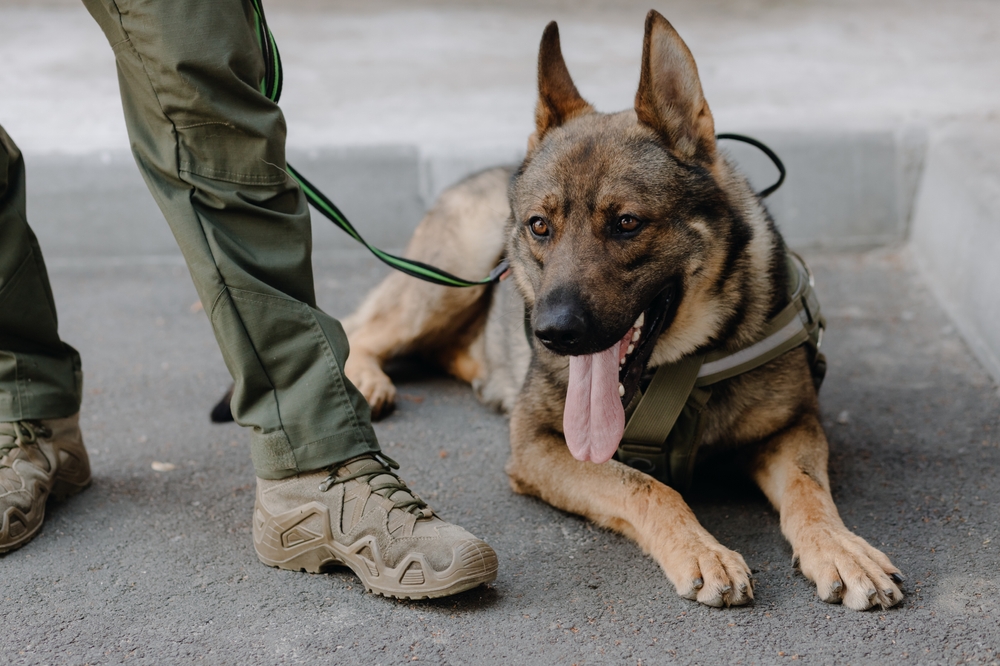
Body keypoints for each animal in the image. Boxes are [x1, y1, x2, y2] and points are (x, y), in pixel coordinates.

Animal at [320, 11, 908, 612]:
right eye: (540, 226)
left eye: (627, 223)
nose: (551, 334)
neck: (684, 367)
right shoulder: (539, 446)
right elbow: (649, 486)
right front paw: (703, 550)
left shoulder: (794, 428)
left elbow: (809, 491)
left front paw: (839, 547)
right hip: (447, 285)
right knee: (363, 326)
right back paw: (366, 378)